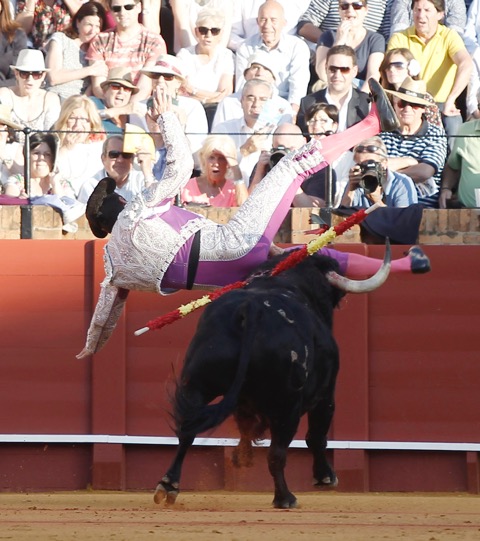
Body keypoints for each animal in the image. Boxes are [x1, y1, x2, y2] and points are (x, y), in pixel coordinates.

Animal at [154, 247, 390, 508]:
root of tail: (250, 309)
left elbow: (246, 425)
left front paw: (242, 456)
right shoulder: (326, 393)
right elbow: (317, 435)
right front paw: (325, 477)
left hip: (197, 383)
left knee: (187, 431)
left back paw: (169, 485)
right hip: (287, 404)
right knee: (278, 452)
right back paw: (285, 498)